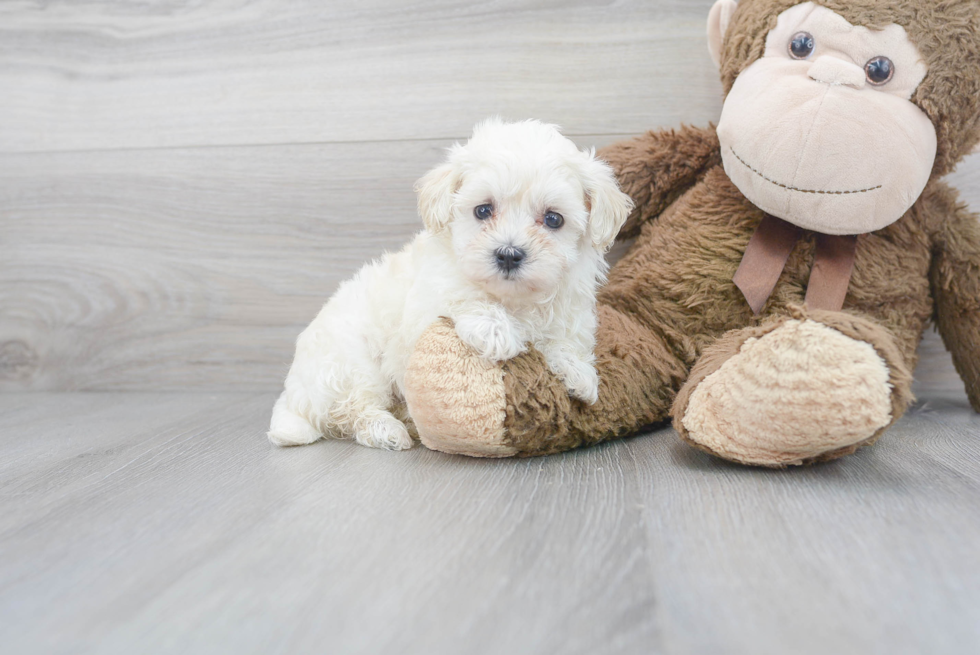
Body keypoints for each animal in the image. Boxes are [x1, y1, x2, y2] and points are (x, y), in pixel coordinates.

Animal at [270, 119, 636, 452]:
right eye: (483, 210)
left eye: (553, 219)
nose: (508, 254)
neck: (513, 299)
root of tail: (294, 395)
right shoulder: (426, 304)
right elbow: (462, 296)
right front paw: (497, 331)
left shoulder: (567, 308)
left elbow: (563, 338)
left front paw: (578, 372)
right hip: (349, 364)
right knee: (352, 410)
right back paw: (386, 430)